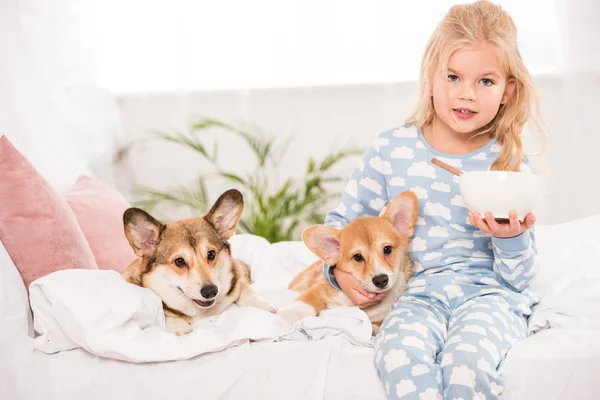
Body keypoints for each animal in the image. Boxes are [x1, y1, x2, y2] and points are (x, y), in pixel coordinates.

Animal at [122, 189, 276, 336]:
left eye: (211, 254)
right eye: (179, 261)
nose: (211, 291)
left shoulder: (237, 280)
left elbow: (244, 292)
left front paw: (265, 307)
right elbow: (164, 312)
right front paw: (178, 325)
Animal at [276, 191, 418, 334]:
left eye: (387, 249)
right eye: (358, 257)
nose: (381, 280)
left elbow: (376, 324)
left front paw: (371, 327)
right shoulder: (320, 289)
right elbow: (307, 302)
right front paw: (290, 314)